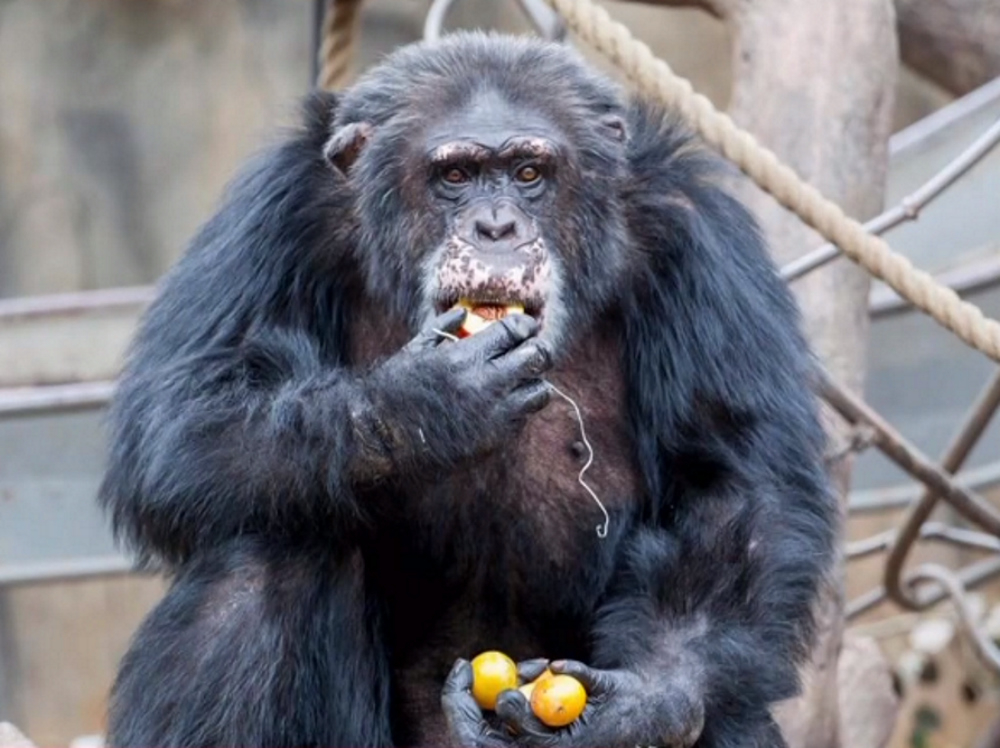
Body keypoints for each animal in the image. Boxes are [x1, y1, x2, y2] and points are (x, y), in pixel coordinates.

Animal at [99, 30, 836, 748]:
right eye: (454, 175)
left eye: (530, 173)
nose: (497, 227)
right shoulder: (272, 214)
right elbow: (181, 414)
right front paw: (424, 405)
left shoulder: (698, 237)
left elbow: (734, 487)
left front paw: (637, 710)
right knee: (262, 558)